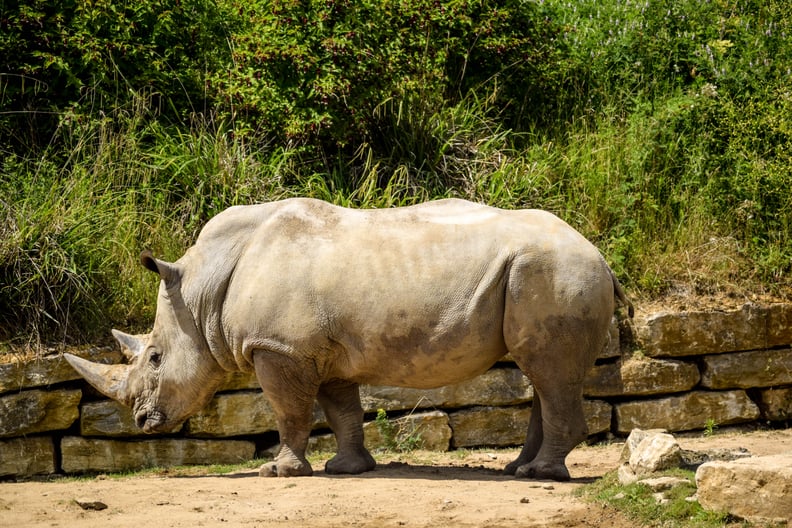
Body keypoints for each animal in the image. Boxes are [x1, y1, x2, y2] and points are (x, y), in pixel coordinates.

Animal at [69, 197, 636, 478]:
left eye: (155, 358)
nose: (142, 422)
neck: (204, 287)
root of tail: (601, 256)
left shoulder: (279, 348)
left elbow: (289, 412)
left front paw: (279, 471)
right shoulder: (318, 351)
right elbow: (341, 410)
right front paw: (347, 469)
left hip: (556, 272)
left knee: (548, 370)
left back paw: (541, 475)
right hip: (546, 274)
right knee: (542, 372)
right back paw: (519, 469)